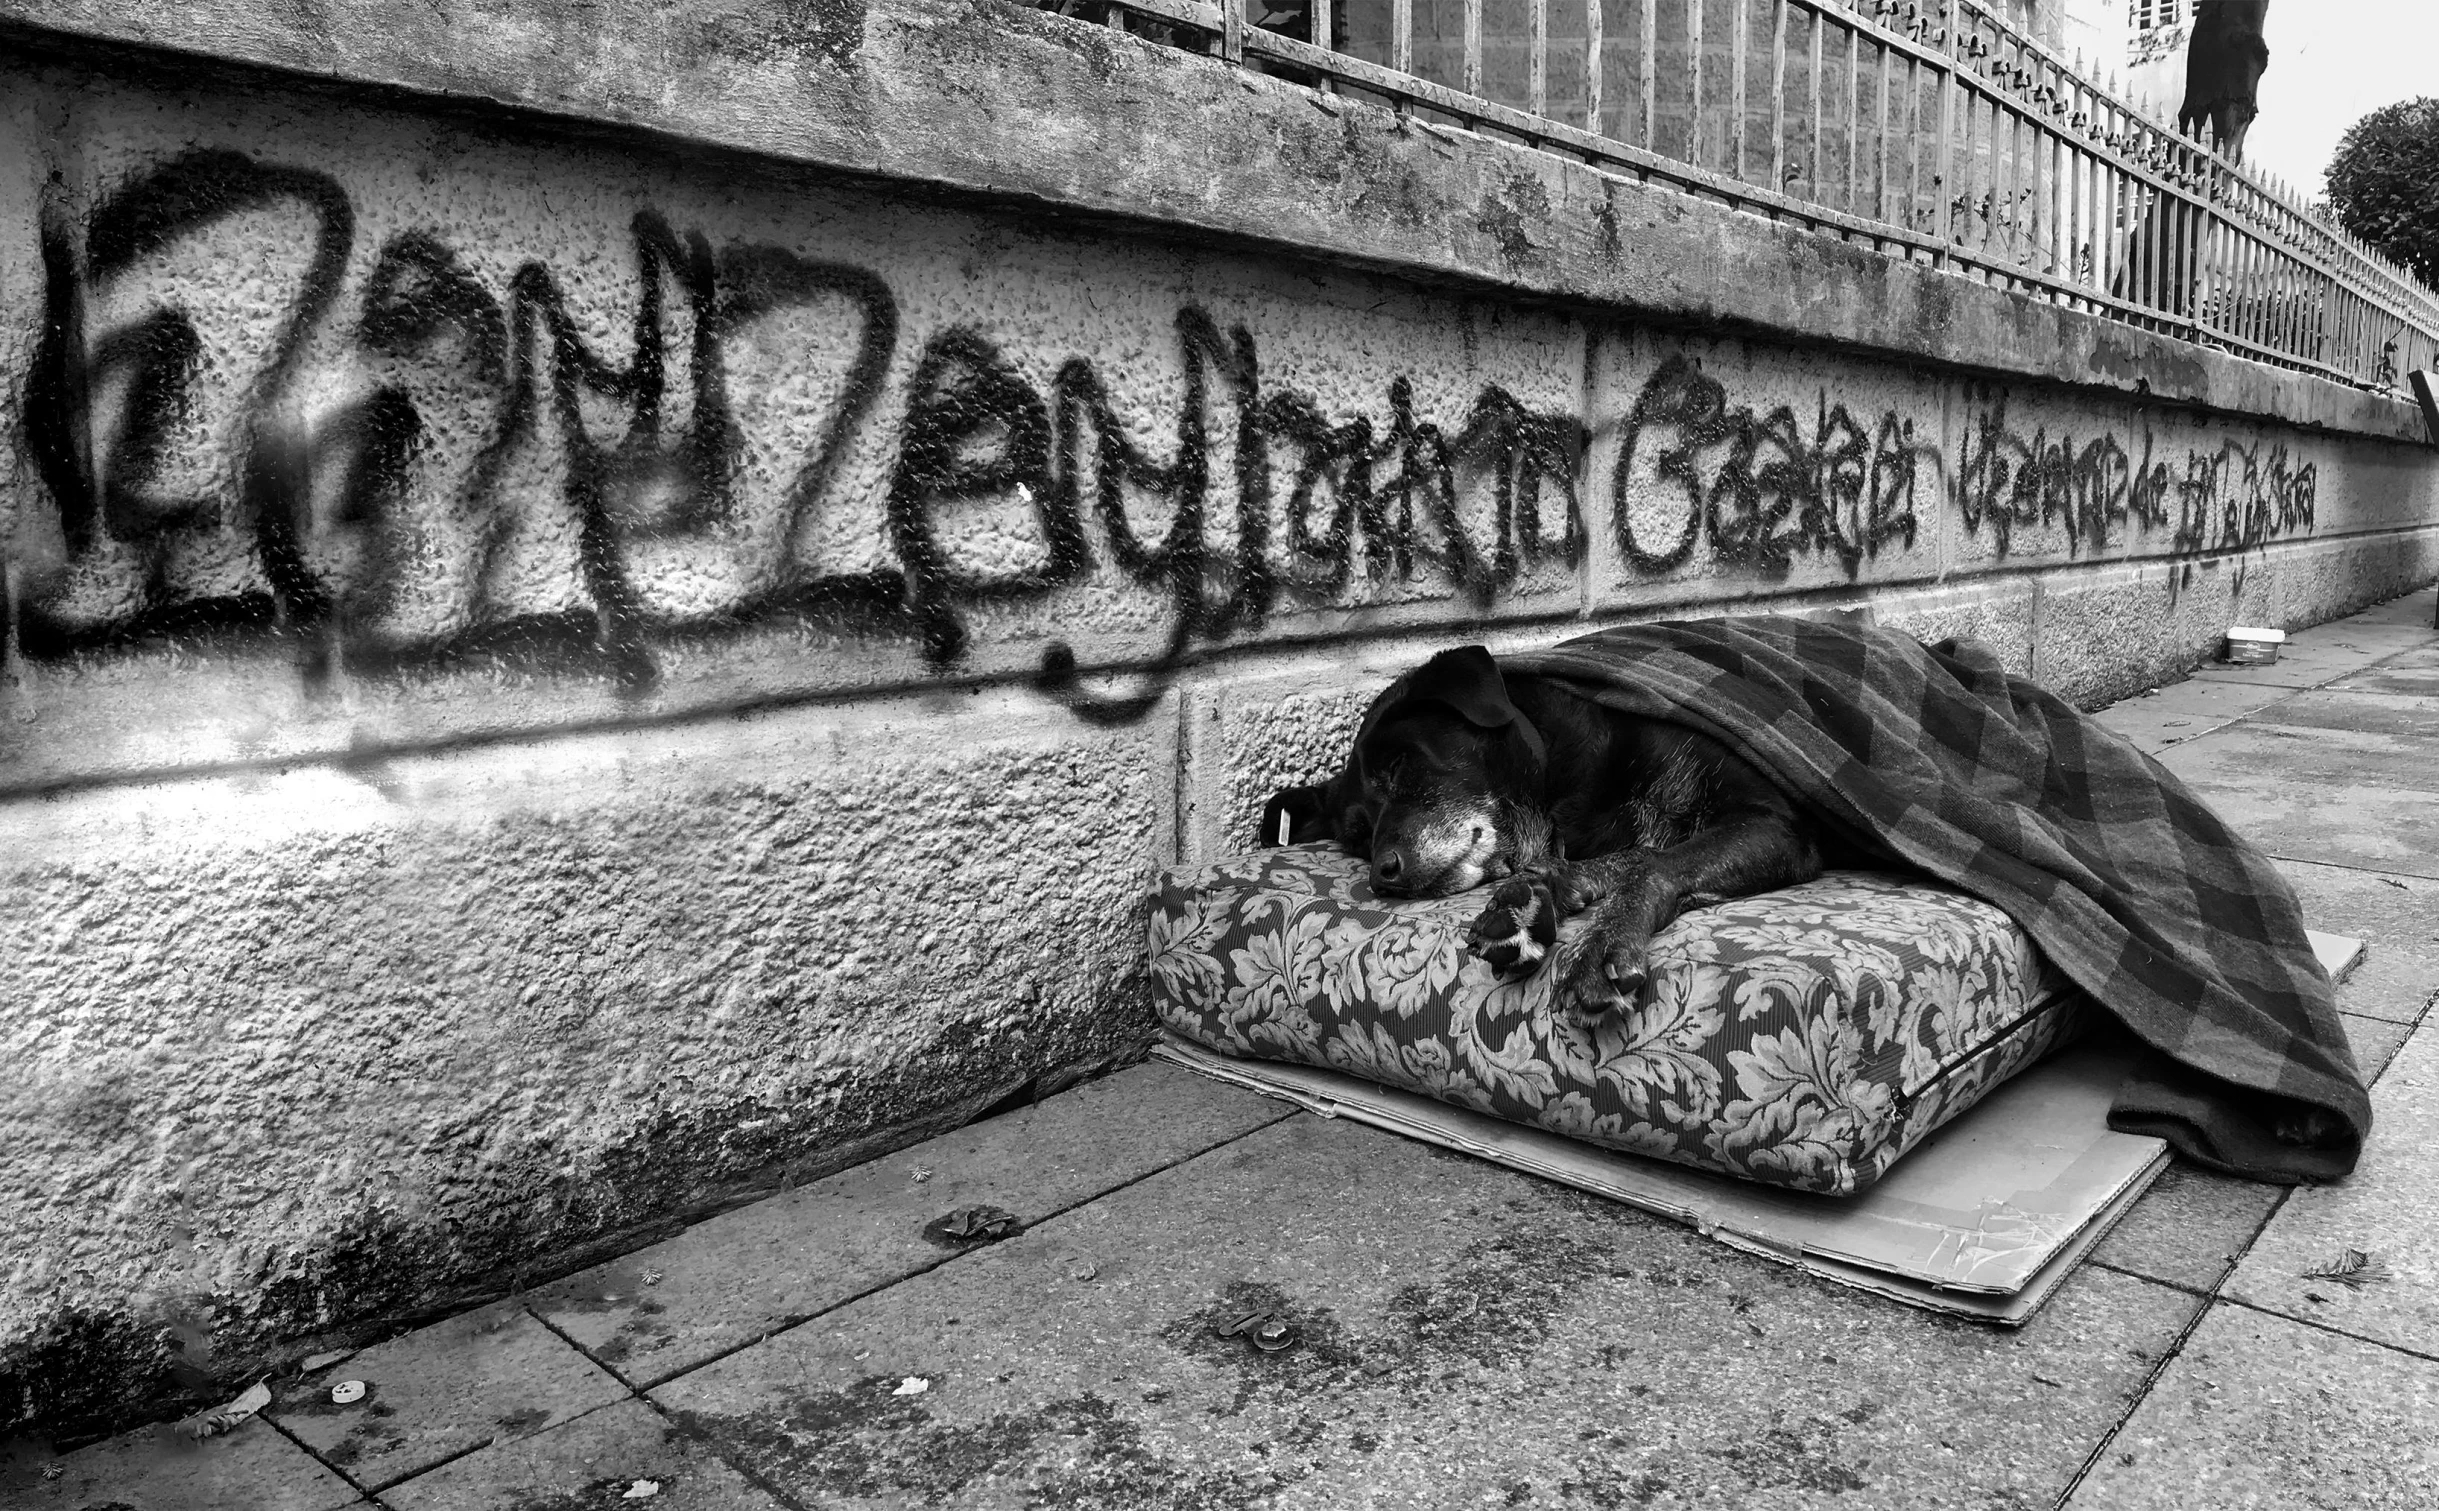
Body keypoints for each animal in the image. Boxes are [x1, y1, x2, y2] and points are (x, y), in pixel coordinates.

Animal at [1258, 643, 1843, 1018]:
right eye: (1358, 838)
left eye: (1399, 767)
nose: (1383, 876)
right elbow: (1623, 855)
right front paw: (1544, 892)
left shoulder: (1772, 820)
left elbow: (1651, 859)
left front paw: (1600, 938)